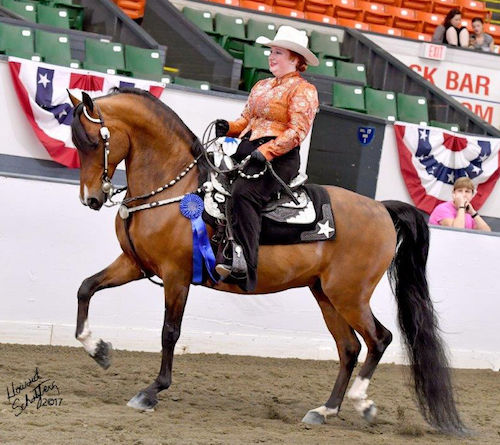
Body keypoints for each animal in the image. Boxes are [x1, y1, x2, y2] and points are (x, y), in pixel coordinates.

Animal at [69, 87, 464, 434]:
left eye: (92, 142)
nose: (91, 198)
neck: (175, 190)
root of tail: (382, 208)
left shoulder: (176, 276)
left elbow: (170, 332)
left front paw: (151, 392)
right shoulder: (135, 264)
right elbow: (85, 288)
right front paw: (97, 349)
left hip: (350, 295)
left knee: (379, 338)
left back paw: (360, 402)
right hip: (326, 295)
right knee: (349, 347)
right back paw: (325, 410)